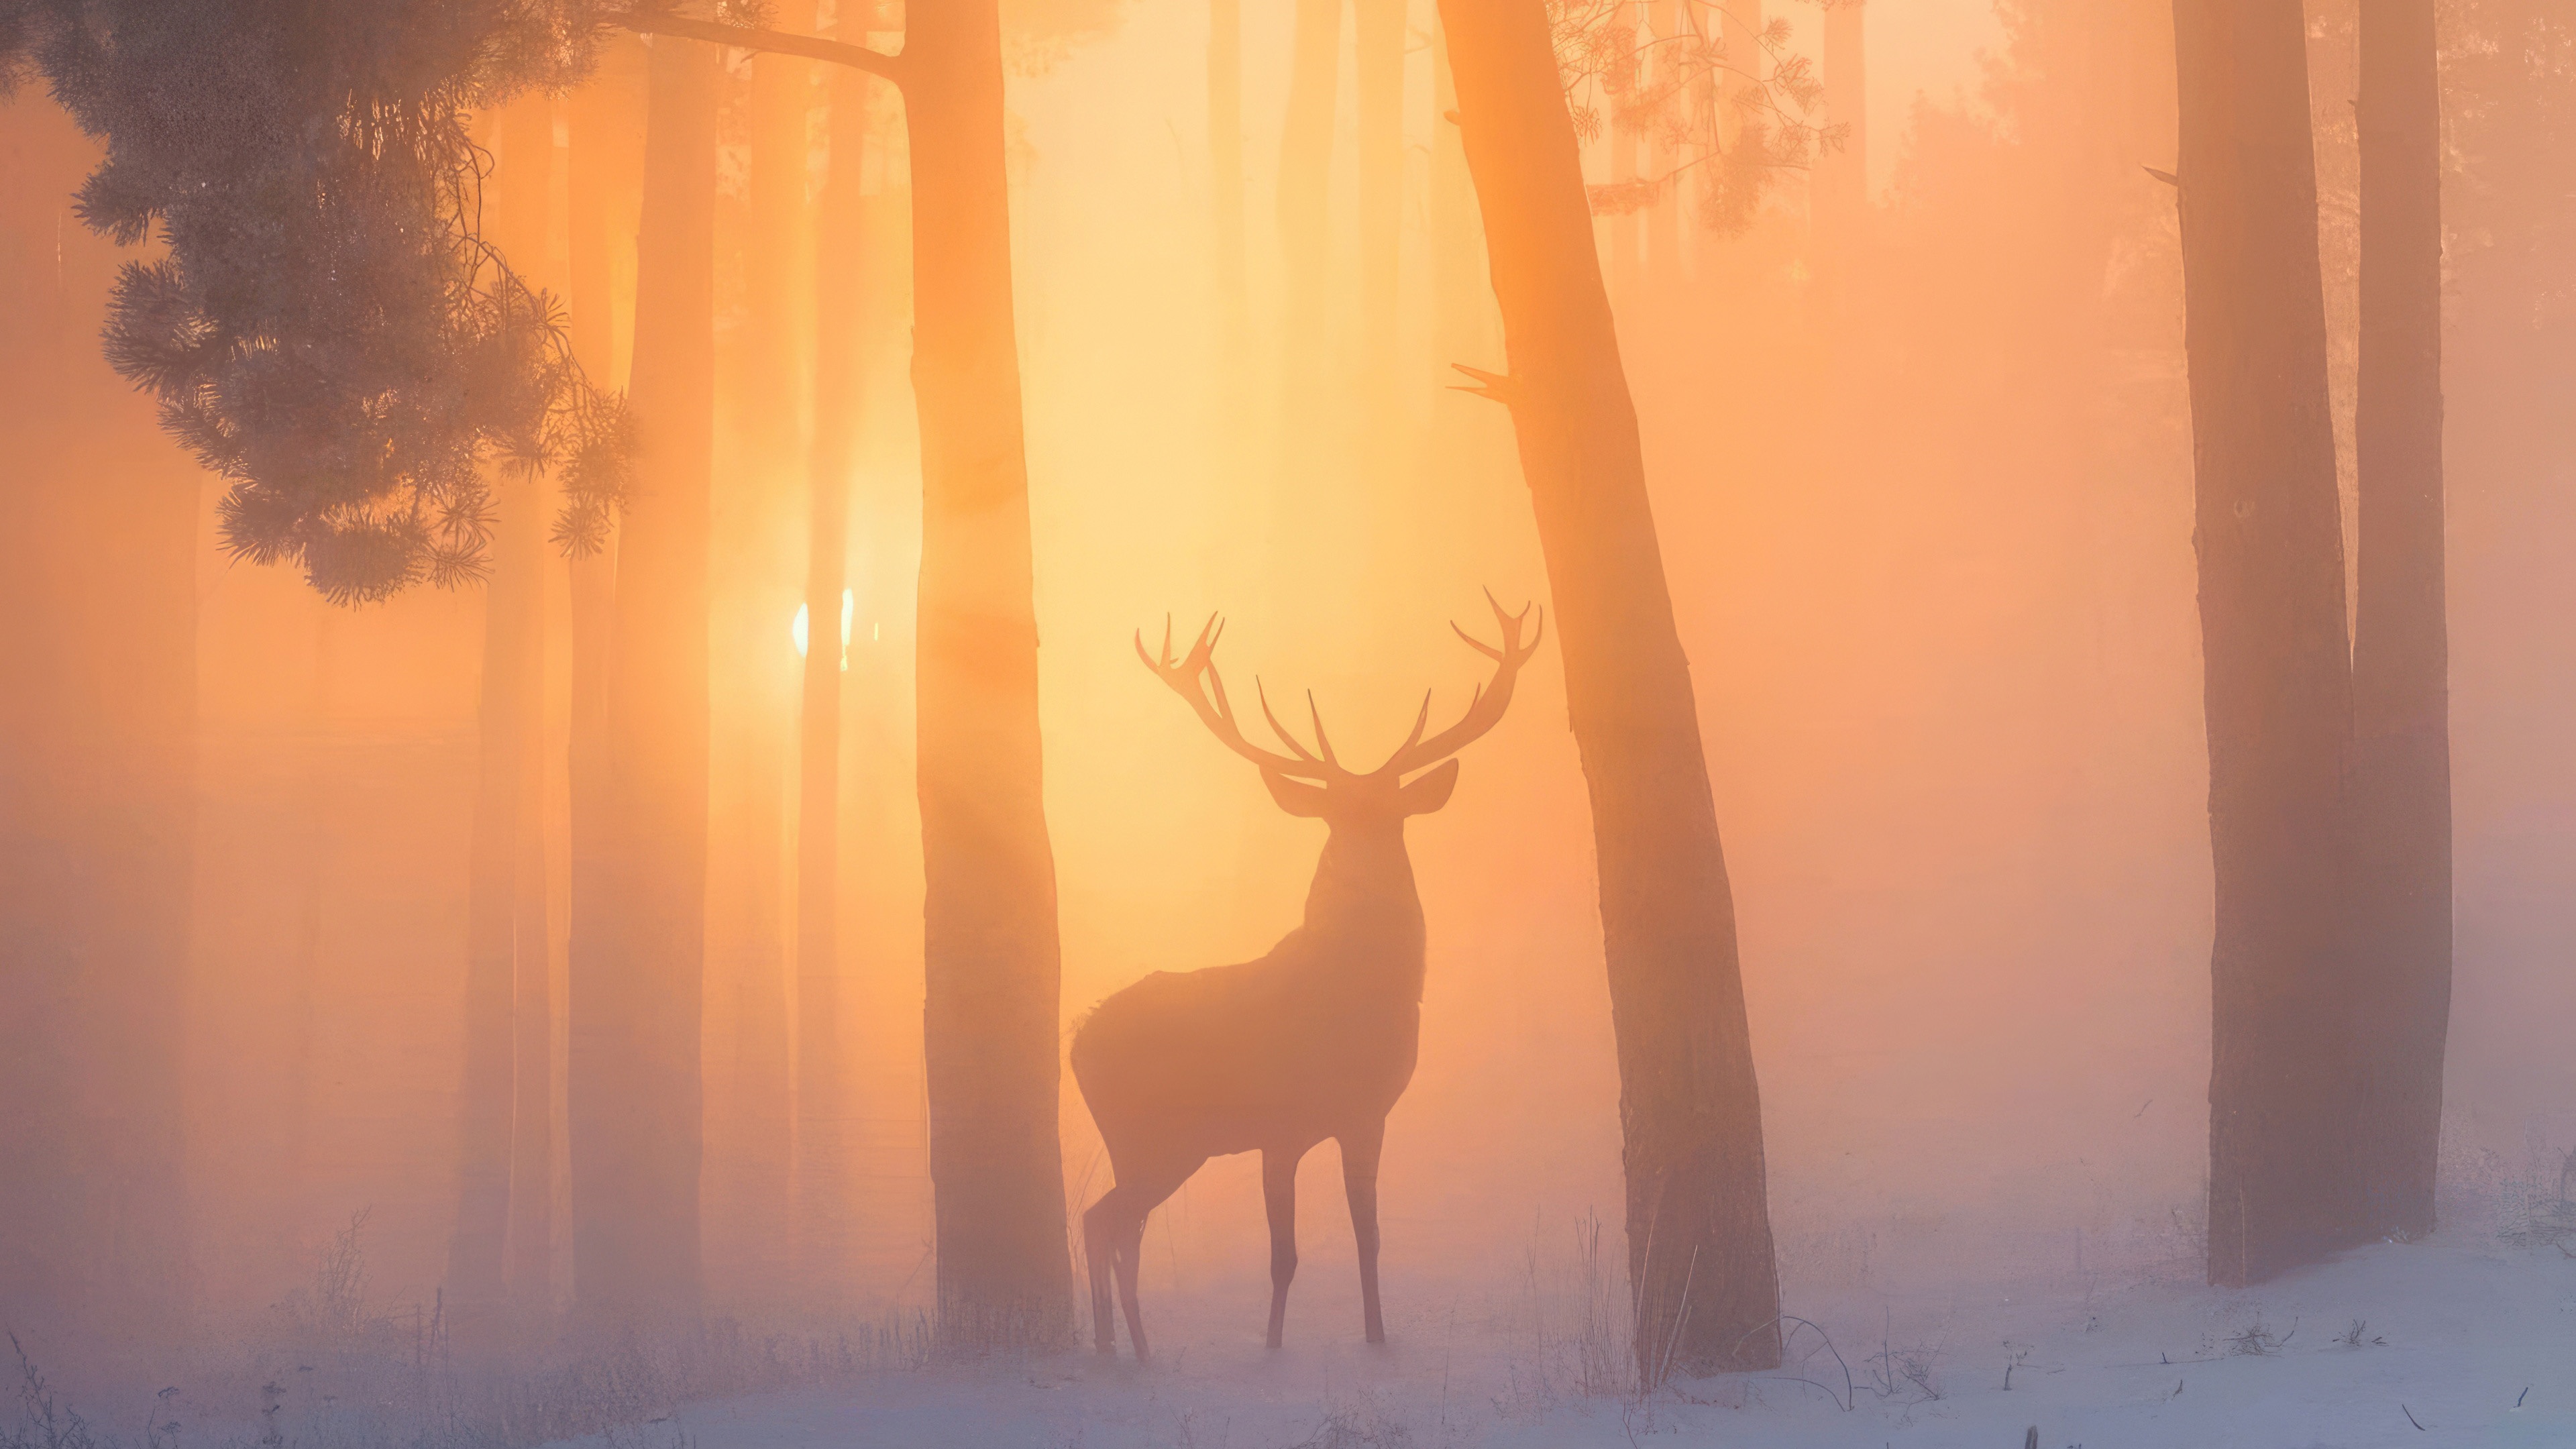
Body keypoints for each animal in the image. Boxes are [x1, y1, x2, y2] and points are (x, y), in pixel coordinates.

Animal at [1070, 594, 1542, 1362]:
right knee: (1102, 1221)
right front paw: (1270, 1349)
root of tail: (1075, 1043)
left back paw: (1131, 1348)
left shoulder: (1367, 1117)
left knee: (1115, 1225)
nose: (1363, 866)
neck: (1348, 1007)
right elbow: (1283, 1254)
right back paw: (1121, 1348)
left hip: (1153, 1145)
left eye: (1391, 814)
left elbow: (1368, 1237)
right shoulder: (1281, 1125)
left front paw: (1377, 1338)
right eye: (1336, 816)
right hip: (1157, 1137)